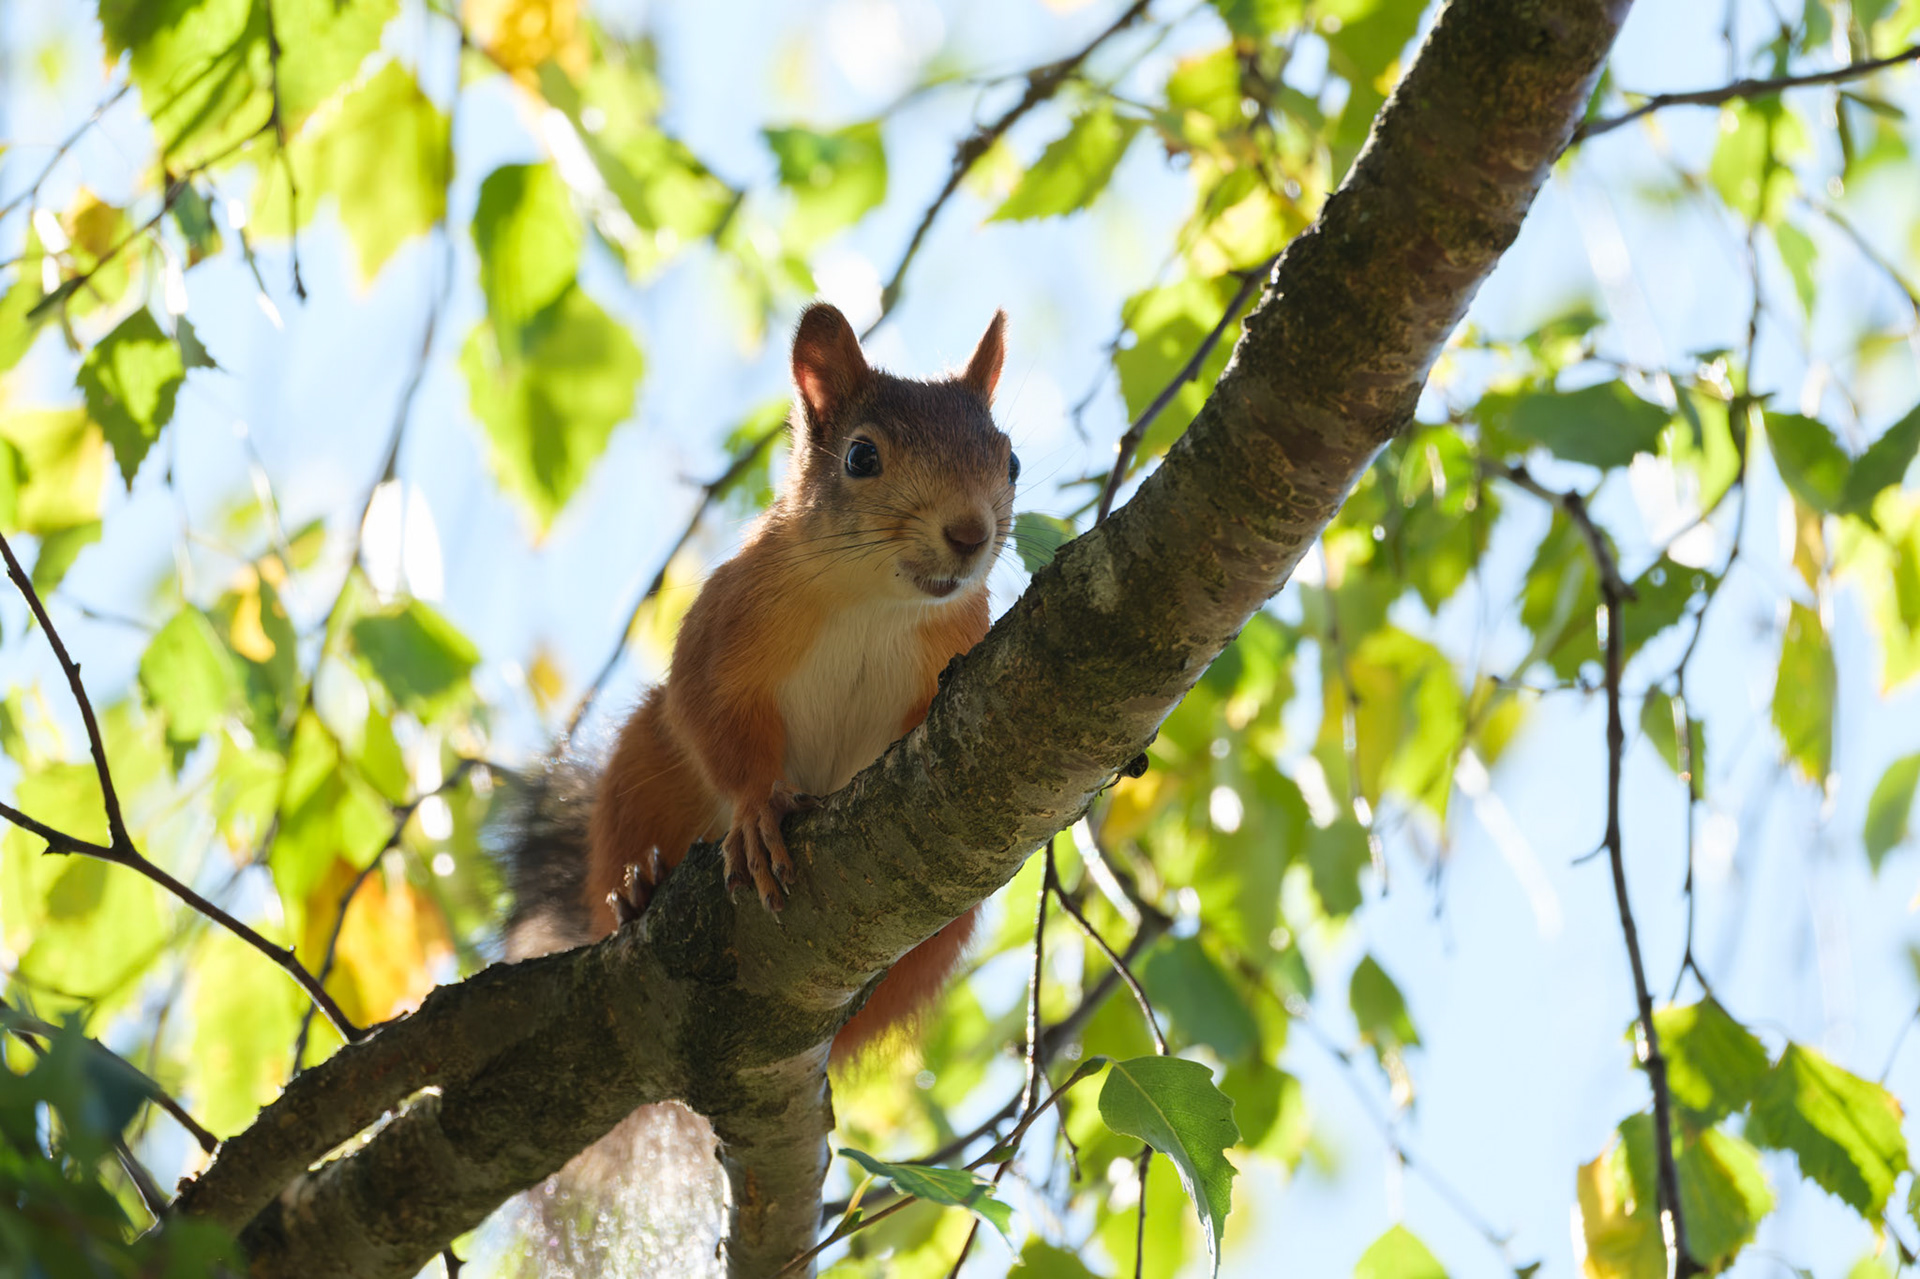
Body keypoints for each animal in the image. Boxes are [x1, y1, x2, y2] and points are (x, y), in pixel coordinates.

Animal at [504, 301, 1017, 1061]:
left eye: (1010, 460)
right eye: (861, 457)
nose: (969, 533)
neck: (876, 605)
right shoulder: (726, 626)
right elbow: (710, 714)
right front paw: (755, 813)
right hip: (643, 774)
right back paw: (639, 892)